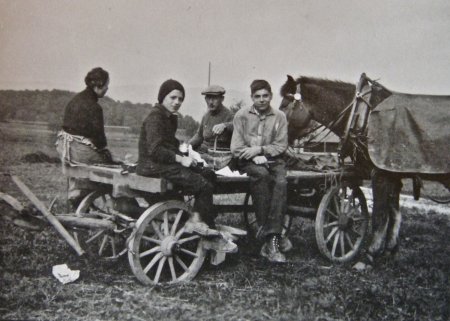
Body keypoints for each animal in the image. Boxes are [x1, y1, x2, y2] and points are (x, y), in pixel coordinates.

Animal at [280, 74, 448, 264]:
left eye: (284, 105)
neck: (361, 115)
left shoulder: (380, 174)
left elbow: (379, 215)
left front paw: (370, 254)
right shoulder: (392, 175)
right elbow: (394, 213)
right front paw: (389, 250)